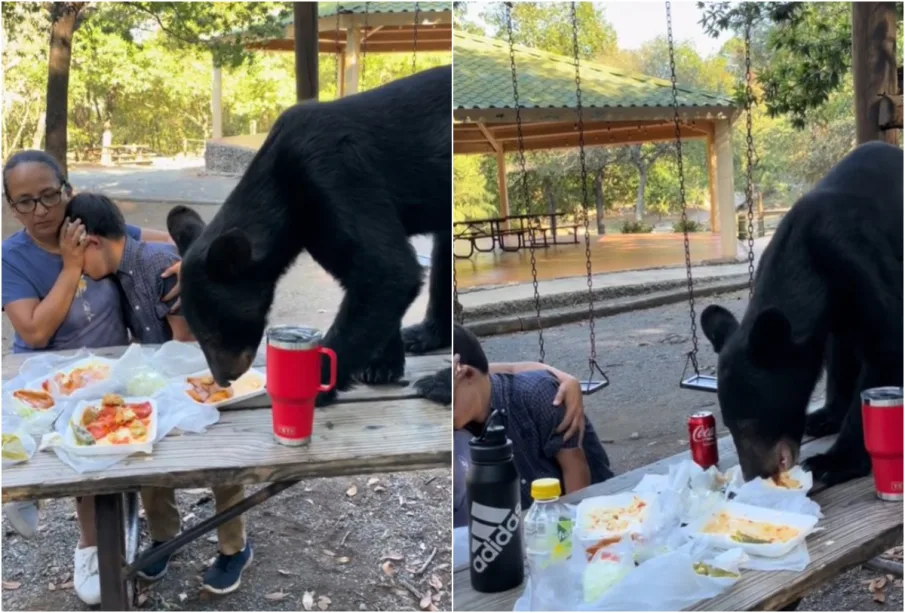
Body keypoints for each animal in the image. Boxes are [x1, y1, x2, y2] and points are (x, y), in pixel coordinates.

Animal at [167, 65, 452, 406]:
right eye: (199, 335)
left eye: (212, 334)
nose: (225, 378)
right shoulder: (317, 226)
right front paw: (381, 365)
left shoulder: (336, 176)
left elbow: (387, 271)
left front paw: (315, 384)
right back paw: (426, 335)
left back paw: (441, 382)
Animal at [700, 141, 896, 486]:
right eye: (729, 425)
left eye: (750, 422)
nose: (755, 475)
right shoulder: (837, 309)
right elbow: (838, 353)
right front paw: (827, 415)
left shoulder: (864, 262)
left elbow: (885, 347)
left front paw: (833, 460)